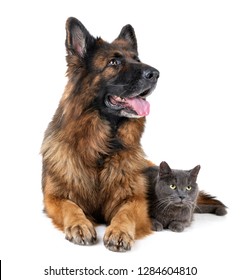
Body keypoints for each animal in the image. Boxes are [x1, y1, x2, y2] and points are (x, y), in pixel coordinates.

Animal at [41, 17, 227, 252]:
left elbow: (126, 213)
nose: (155, 74)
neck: (102, 148)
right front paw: (79, 224)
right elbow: (70, 206)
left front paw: (119, 231)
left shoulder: (135, 199)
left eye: (137, 59)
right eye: (114, 62)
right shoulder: (53, 198)